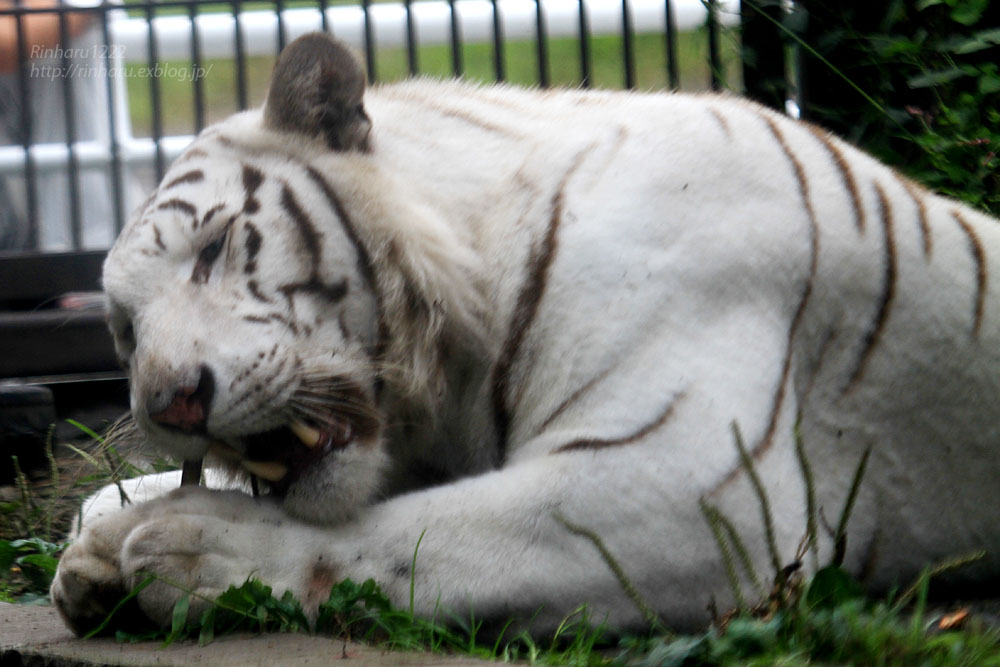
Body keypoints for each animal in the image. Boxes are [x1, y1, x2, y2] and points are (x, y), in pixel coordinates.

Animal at [50, 31, 1000, 636]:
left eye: (213, 247)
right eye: (124, 331)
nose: (172, 405)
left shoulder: (692, 480)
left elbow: (409, 533)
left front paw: (189, 542)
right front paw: (99, 541)